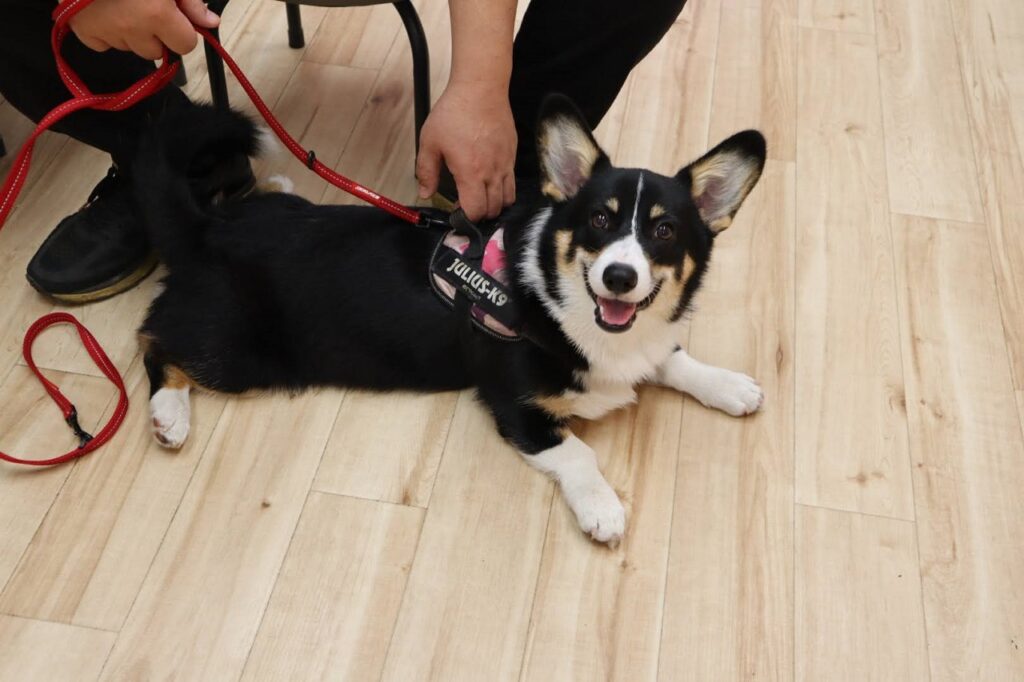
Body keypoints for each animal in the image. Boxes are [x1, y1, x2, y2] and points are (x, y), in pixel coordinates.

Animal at [138, 95, 770, 544]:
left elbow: (673, 358)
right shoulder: (519, 408)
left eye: (664, 230)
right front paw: (604, 509)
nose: (619, 277)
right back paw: (169, 415)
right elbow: (578, 453)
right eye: (598, 220)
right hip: (239, 354)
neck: (570, 310)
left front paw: (730, 385)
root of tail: (208, 228)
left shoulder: (640, 347)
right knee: (155, 340)